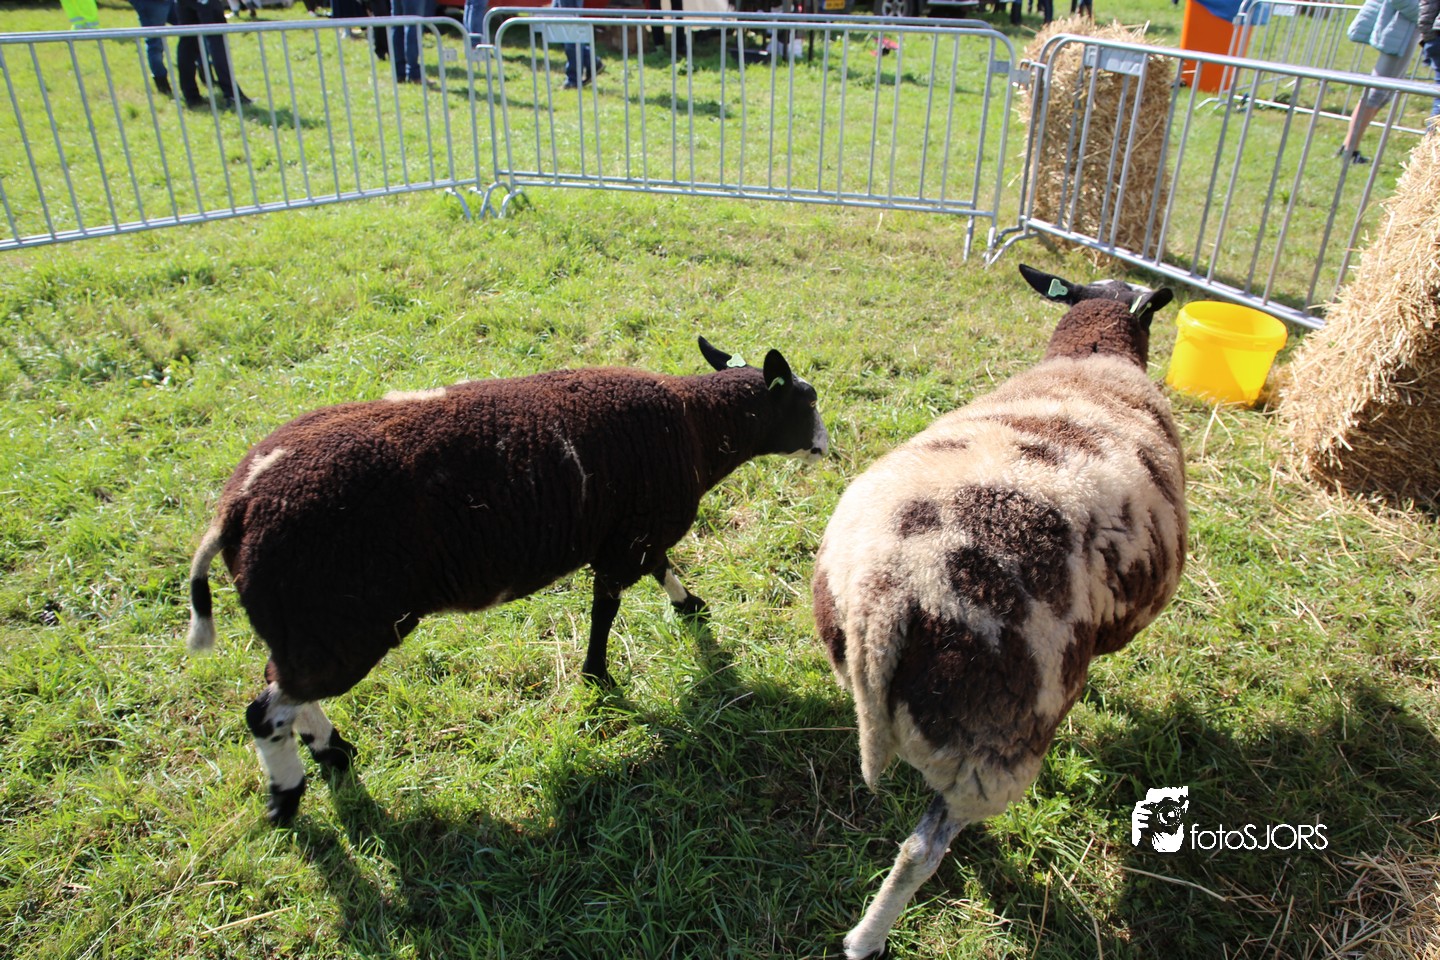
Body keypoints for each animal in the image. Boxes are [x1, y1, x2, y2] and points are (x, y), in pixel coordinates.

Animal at [186, 336, 829, 824]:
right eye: (808, 399)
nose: (828, 446)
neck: (698, 425)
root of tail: (237, 507)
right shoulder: (630, 537)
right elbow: (607, 608)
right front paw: (597, 675)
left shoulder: (632, 534)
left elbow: (660, 569)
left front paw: (688, 604)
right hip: (343, 623)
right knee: (266, 710)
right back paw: (287, 798)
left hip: (308, 626)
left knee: (285, 686)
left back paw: (332, 751)